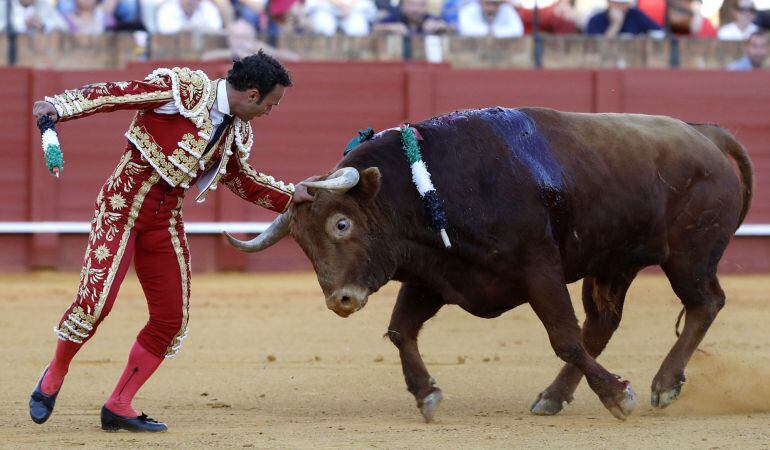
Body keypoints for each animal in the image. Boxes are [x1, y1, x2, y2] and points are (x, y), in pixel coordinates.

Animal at [224, 108, 752, 422]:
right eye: (302, 243)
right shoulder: (435, 275)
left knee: (704, 304)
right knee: (603, 323)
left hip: (689, 256)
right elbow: (400, 330)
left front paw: (619, 395)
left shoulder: (540, 270)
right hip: (613, 263)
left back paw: (662, 386)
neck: (431, 185)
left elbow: (563, 337)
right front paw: (426, 394)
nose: (342, 300)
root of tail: (704, 134)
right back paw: (554, 397)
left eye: (341, 224)